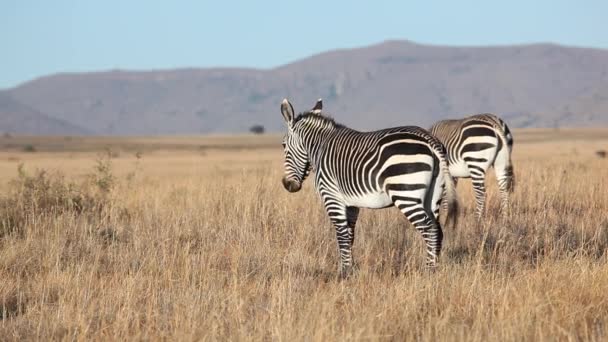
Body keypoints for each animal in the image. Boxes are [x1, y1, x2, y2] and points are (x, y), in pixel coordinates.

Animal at [280, 97, 456, 276]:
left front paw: (343, 273)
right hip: (433, 195)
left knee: (429, 229)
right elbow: (350, 235)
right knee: (438, 230)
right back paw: (435, 269)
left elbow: (341, 235)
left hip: (405, 193)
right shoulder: (351, 204)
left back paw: (428, 271)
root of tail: (430, 139)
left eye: (283, 146)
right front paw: (350, 269)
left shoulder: (331, 197)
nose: (287, 185)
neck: (321, 148)